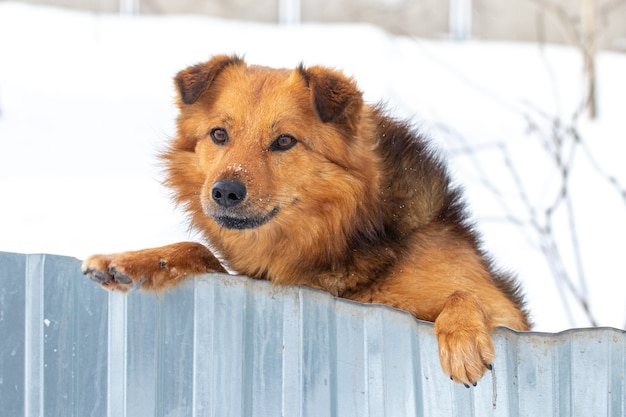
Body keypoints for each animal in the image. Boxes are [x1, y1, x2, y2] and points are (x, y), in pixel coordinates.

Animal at [83, 54, 528, 384]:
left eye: (284, 141)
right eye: (219, 135)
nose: (225, 191)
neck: (344, 238)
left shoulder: (509, 315)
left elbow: (464, 294)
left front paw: (463, 339)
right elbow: (197, 250)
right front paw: (131, 260)